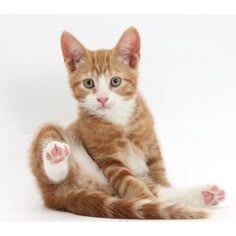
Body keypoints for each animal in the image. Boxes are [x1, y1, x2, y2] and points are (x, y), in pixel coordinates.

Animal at [29, 26, 225, 218]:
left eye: (115, 81)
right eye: (89, 83)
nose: (102, 99)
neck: (120, 120)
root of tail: (60, 197)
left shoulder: (151, 143)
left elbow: (158, 172)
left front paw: (164, 189)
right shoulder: (108, 159)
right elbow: (129, 182)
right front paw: (150, 201)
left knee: (157, 190)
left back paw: (204, 194)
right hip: (51, 141)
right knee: (56, 170)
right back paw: (56, 155)